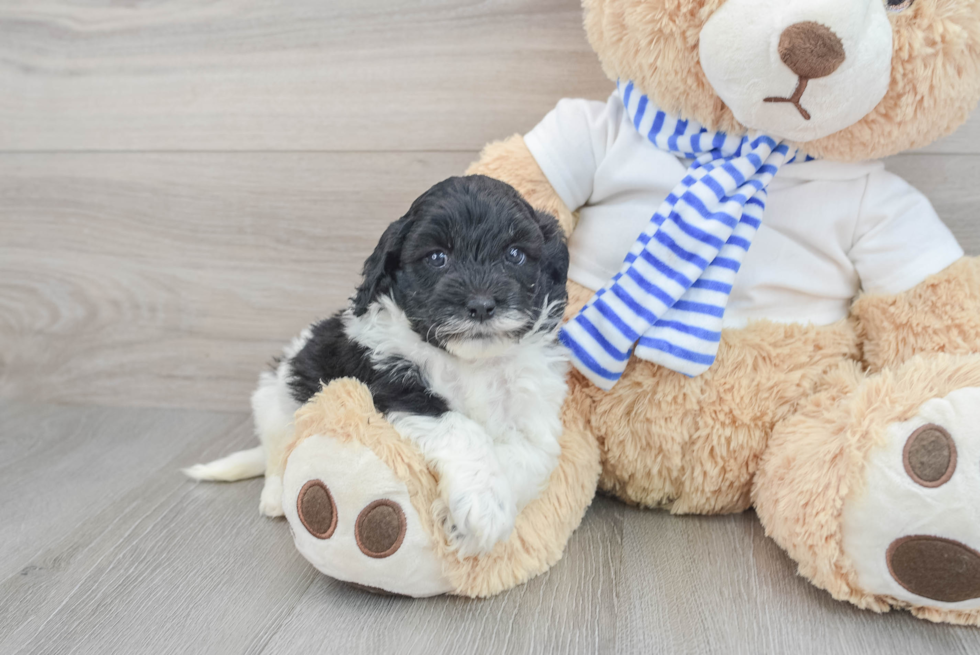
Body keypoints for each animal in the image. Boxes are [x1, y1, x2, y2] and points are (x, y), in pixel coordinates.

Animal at [186, 177, 568, 556]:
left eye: (515, 254)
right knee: (278, 453)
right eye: (437, 257)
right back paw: (274, 497)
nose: (481, 305)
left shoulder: (534, 415)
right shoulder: (392, 383)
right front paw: (481, 506)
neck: (470, 361)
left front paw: (469, 522)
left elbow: (527, 458)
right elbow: (460, 427)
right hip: (277, 398)